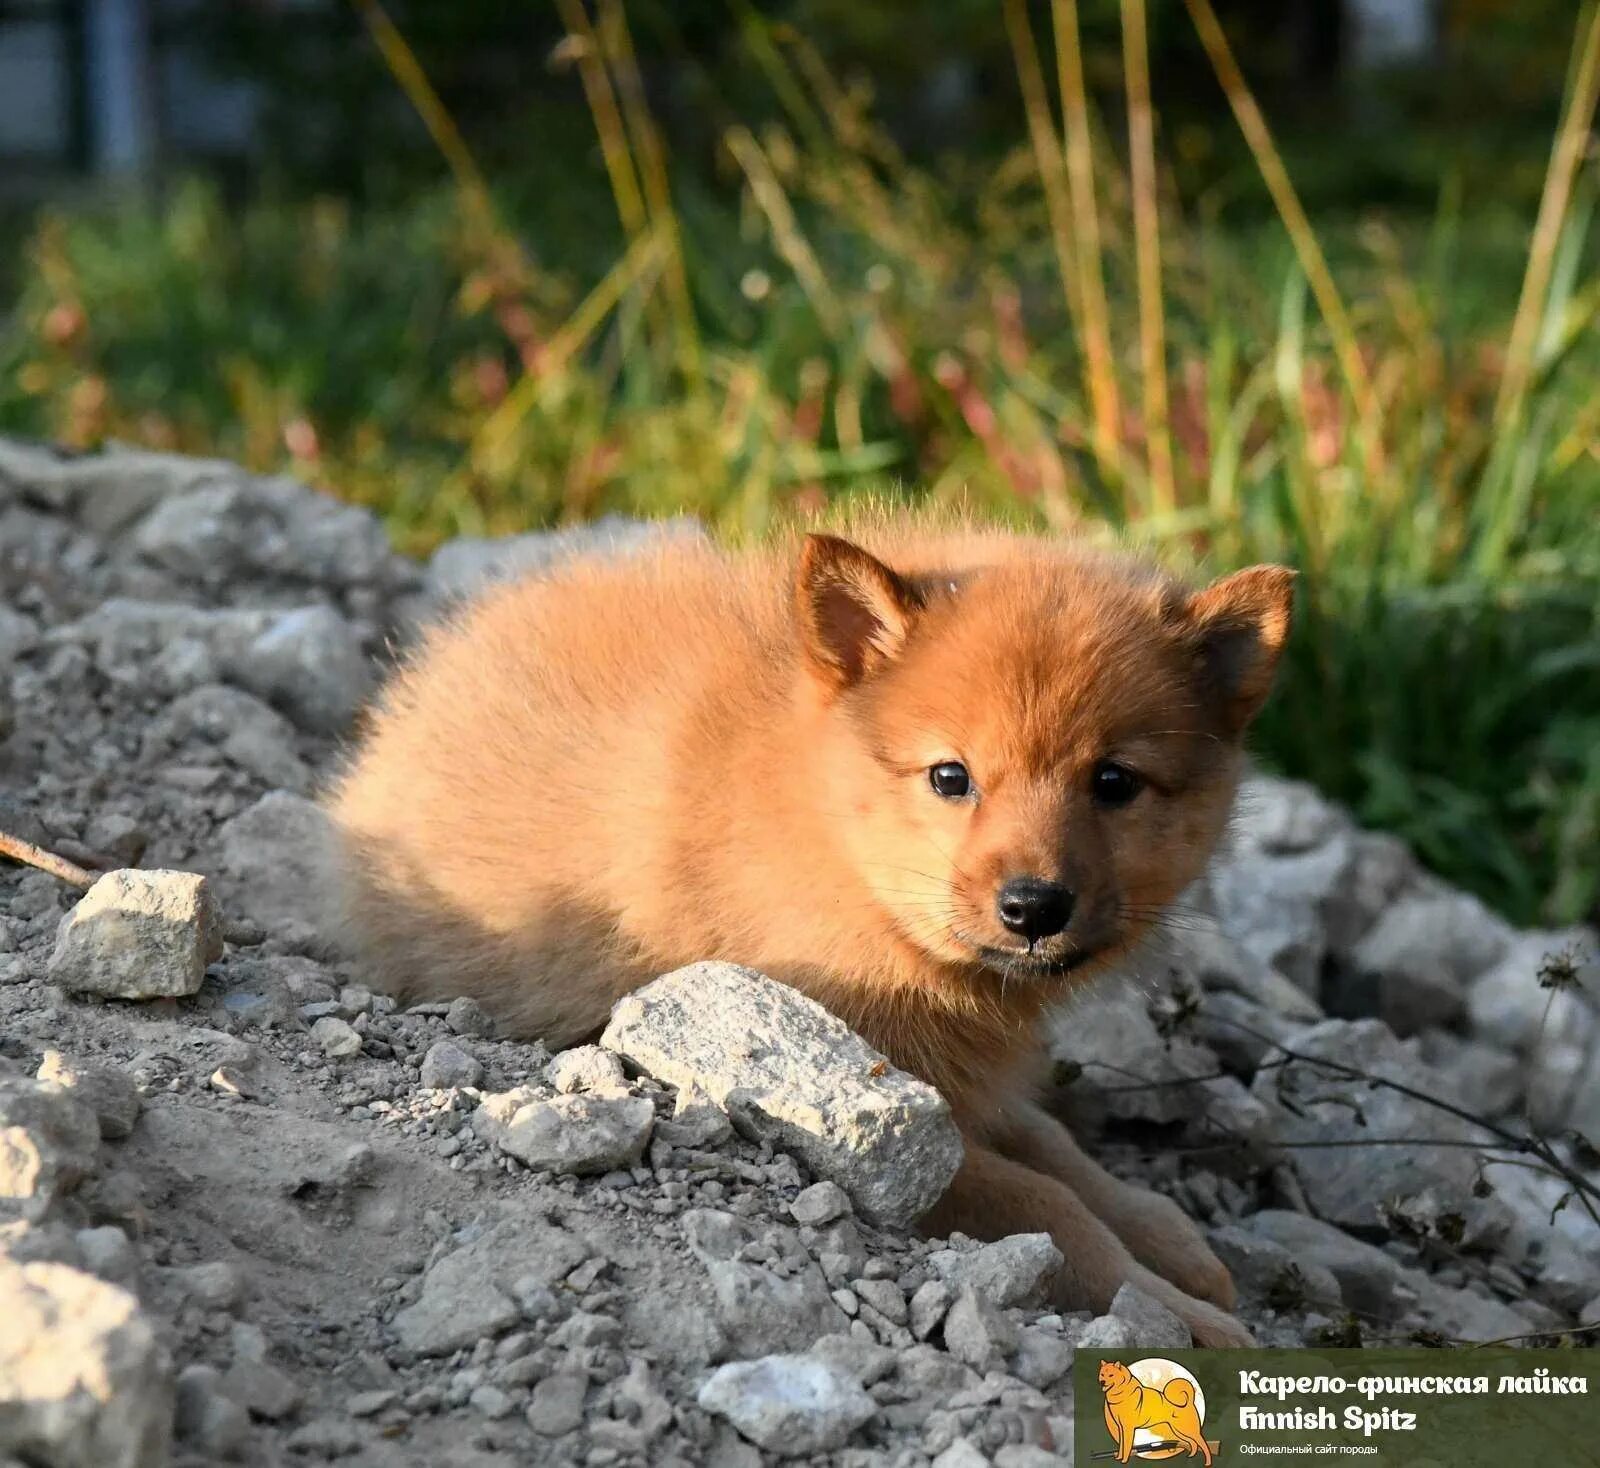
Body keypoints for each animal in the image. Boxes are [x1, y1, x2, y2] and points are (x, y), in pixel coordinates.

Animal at [331, 514, 1292, 1343]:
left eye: (1114, 782)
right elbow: (1049, 1207)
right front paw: (1189, 1321)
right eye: (951, 776)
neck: (829, 848)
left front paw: (1171, 1237)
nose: (1033, 907)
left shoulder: (965, 1083)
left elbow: (1057, 1148)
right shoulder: (884, 1136)